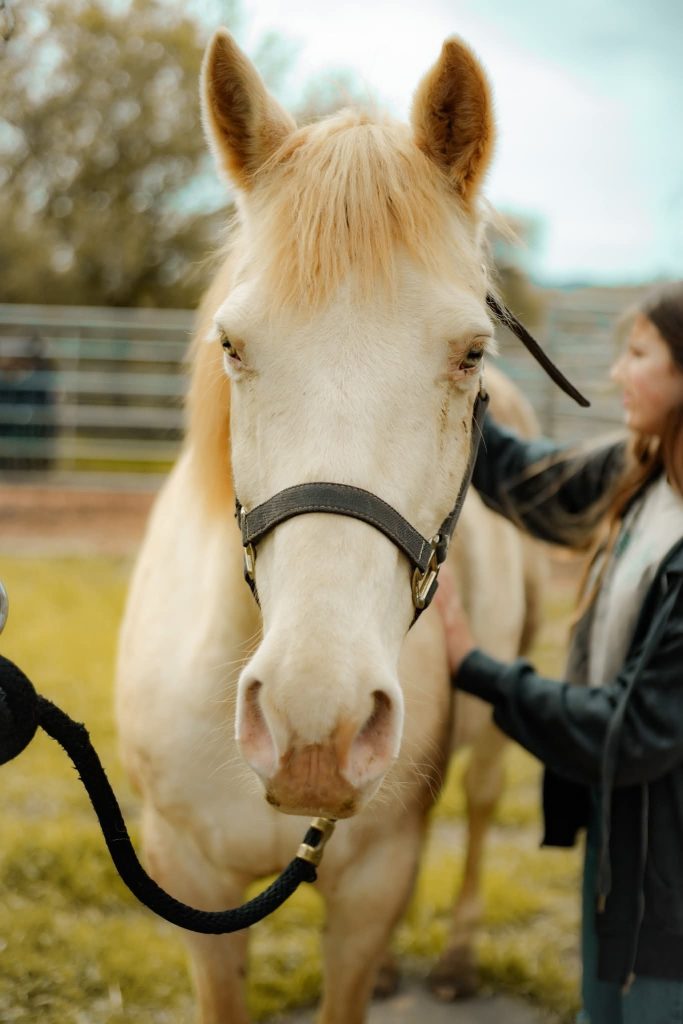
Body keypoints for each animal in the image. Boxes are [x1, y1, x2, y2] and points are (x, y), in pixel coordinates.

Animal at [116, 30, 540, 1023]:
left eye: (470, 353)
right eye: (232, 345)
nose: (315, 724)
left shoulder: (371, 885)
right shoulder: (189, 881)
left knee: (478, 808)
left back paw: (457, 957)